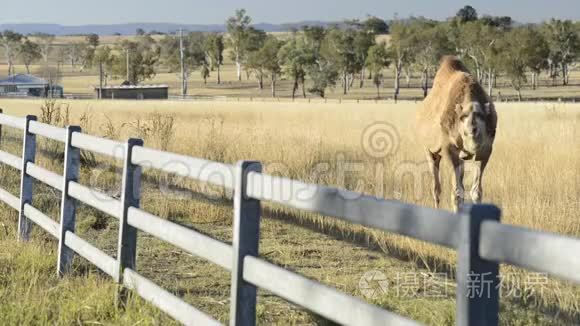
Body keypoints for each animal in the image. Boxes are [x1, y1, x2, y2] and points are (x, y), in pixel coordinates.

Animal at [416, 56, 498, 211]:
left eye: (482, 128)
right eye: (465, 131)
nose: (471, 151)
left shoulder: (486, 150)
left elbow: (476, 191)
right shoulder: (449, 148)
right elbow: (457, 192)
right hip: (428, 150)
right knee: (436, 188)